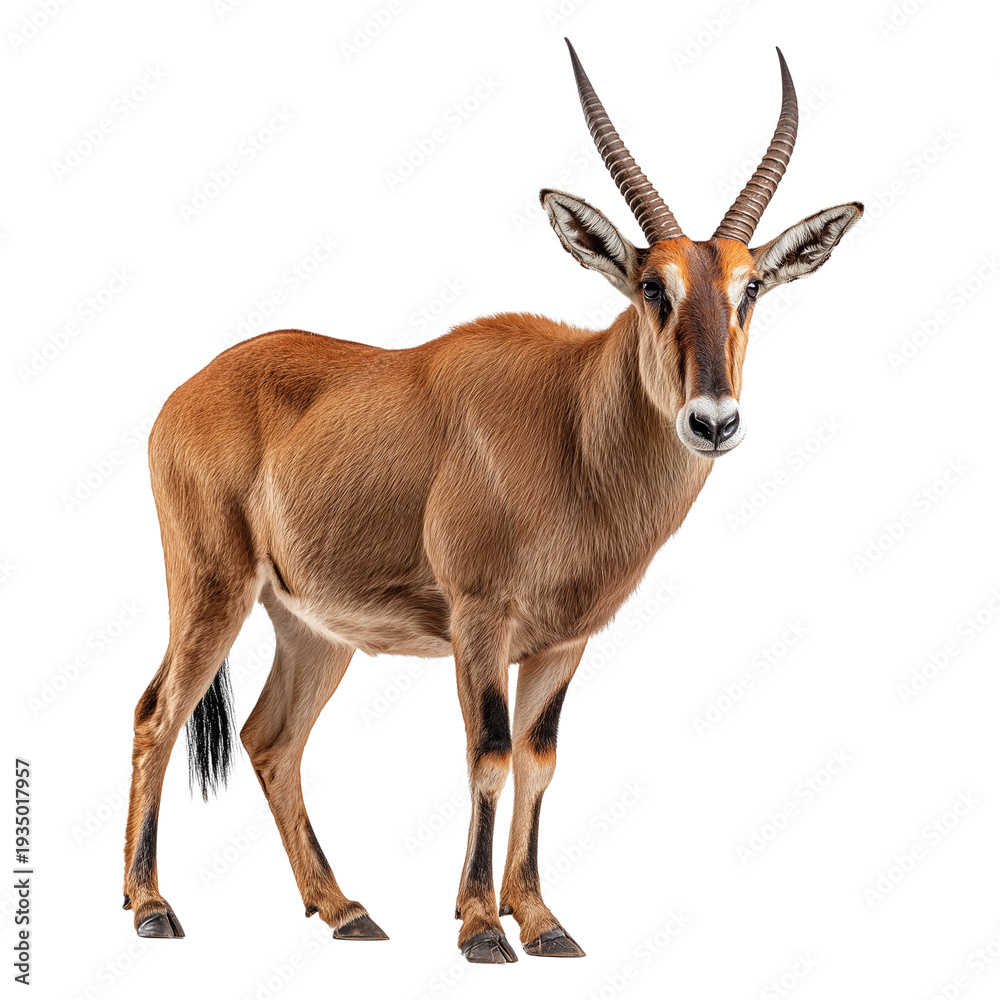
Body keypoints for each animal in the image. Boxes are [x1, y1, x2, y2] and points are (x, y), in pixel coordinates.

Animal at [122, 39, 862, 963]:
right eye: (651, 287)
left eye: (750, 287)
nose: (714, 421)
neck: (572, 423)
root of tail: (186, 393)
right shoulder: (480, 623)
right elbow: (490, 751)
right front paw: (480, 925)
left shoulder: (563, 642)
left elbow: (540, 759)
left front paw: (541, 920)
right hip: (211, 590)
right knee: (158, 713)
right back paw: (152, 907)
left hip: (311, 628)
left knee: (271, 739)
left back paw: (346, 910)